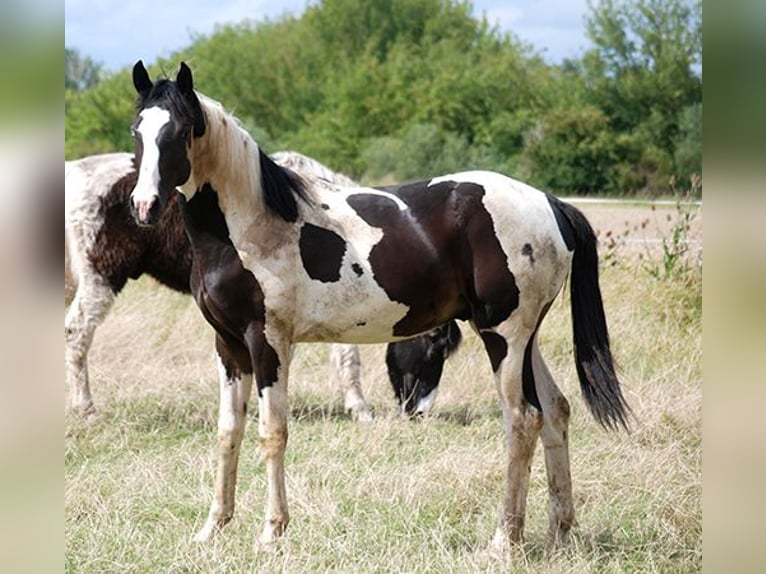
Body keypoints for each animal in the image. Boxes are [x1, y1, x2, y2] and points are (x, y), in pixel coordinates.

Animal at [128, 60, 630, 549]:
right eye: (137, 132)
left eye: (178, 131)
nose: (144, 206)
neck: (250, 227)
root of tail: (551, 204)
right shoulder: (229, 346)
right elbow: (228, 432)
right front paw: (213, 528)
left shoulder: (268, 342)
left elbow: (272, 433)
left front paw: (271, 533)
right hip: (525, 339)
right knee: (556, 411)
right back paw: (559, 530)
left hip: (502, 339)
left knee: (523, 420)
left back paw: (504, 540)